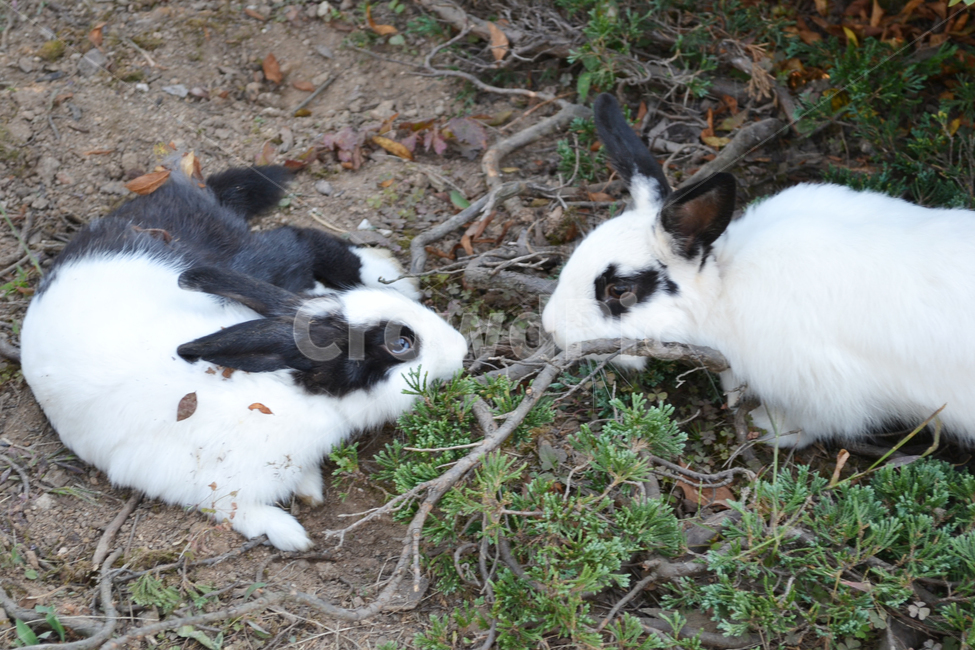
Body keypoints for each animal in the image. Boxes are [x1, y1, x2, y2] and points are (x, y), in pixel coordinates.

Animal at [20, 161, 468, 551]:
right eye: (402, 345)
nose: (461, 349)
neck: (289, 392)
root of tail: (177, 192)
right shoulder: (203, 485)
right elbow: (241, 512)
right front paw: (293, 530)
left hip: (240, 266)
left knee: (297, 240)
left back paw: (388, 274)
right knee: (295, 241)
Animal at [542, 93, 975, 450]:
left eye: (618, 290)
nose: (551, 328)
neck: (724, 288)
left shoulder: (826, 391)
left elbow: (812, 424)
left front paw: (767, 427)